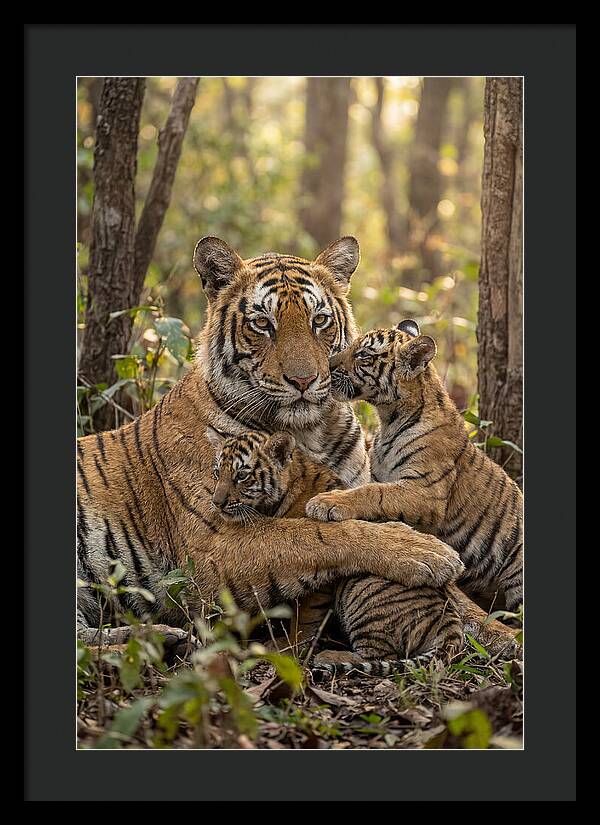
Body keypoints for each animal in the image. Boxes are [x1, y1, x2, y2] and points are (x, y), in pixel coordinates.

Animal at [77, 238, 465, 648]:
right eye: (262, 323)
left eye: (319, 321)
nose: (304, 380)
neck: (309, 432)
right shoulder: (214, 544)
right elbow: (314, 534)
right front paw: (425, 551)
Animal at [207, 427, 464, 673]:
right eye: (217, 473)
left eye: (242, 475)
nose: (216, 503)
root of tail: (450, 621)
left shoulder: (320, 575)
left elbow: (305, 618)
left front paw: (290, 647)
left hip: (362, 590)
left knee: (381, 655)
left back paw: (329, 656)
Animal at [305, 320, 524, 624]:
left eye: (363, 355)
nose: (326, 364)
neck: (388, 419)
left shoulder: (426, 491)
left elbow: (375, 493)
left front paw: (327, 502)